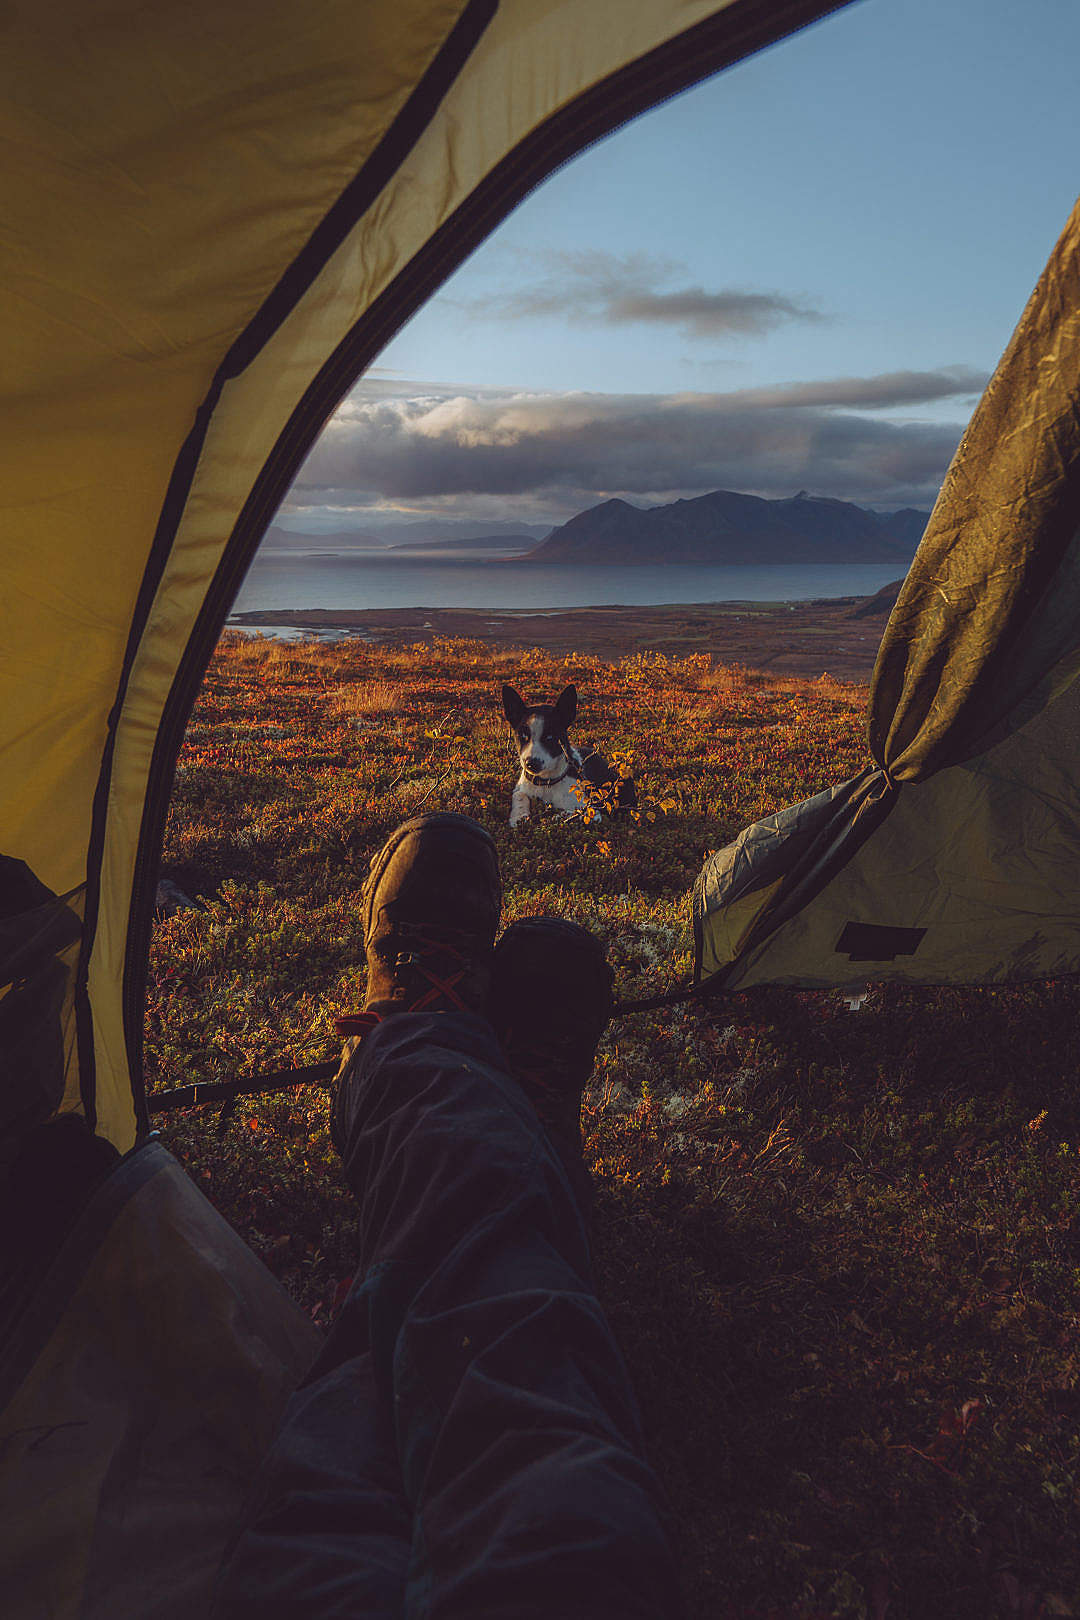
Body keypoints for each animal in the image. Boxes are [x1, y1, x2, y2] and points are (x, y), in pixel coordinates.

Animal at [501, 686, 637, 835]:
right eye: (523, 736)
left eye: (550, 737)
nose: (531, 764)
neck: (546, 783)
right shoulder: (520, 788)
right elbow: (519, 796)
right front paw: (519, 817)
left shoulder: (593, 812)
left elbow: (578, 814)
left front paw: (560, 816)